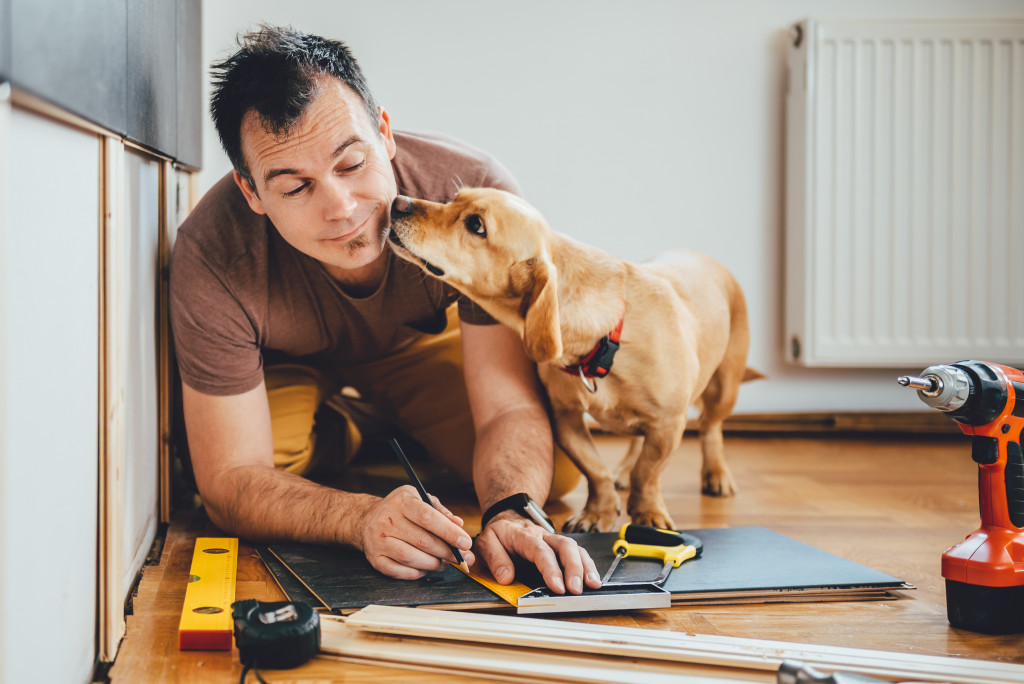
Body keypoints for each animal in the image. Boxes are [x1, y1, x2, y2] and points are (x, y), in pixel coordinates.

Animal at [387, 188, 757, 532]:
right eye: (454, 198)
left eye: (476, 225)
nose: (397, 202)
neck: (607, 338)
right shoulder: (566, 419)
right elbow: (596, 470)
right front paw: (599, 512)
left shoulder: (668, 424)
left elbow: (648, 474)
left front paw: (648, 513)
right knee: (636, 442)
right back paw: (624, 471)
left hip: (724, 389)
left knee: (709, 427)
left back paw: (717, 474)